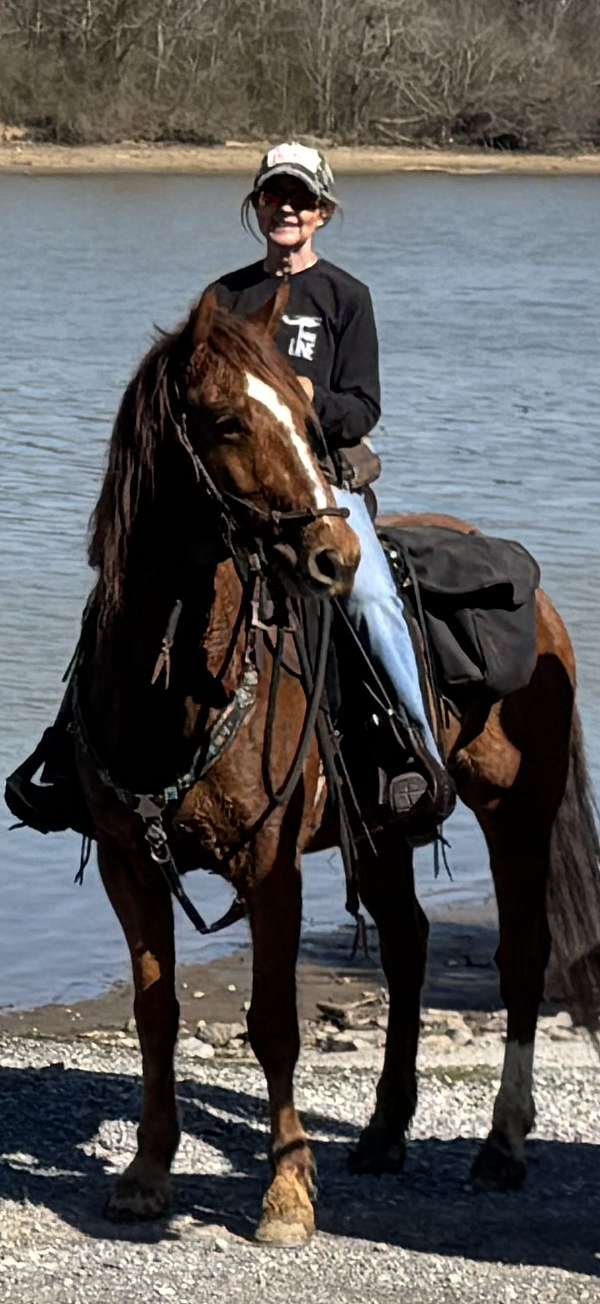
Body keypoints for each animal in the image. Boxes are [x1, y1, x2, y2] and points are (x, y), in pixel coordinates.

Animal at [71, 285, 599, 1246]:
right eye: (227, 420)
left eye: (307, 414)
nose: (337, 558)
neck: (174, 687)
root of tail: (534, 597)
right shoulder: (131, 862)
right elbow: (156, 1015)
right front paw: (146, 1174)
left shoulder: (270, 865)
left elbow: (275, 1023)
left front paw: (286, 1194)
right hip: (386, 831)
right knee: (408, 946)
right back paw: (386, 1130)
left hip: (520, 811)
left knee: (521, 955)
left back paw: (502, 1144)